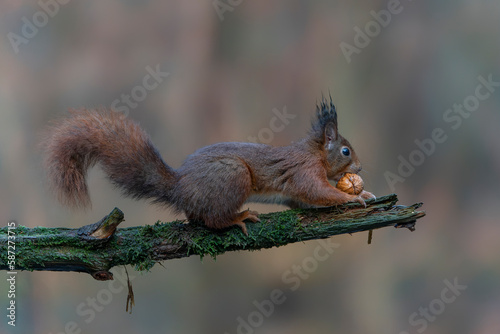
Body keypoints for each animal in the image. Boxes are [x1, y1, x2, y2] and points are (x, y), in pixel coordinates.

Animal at [43, 98, 376, 235]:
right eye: (345, 151)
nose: (360, 168)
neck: (315, 152)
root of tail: (180, 188)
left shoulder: (295, 192)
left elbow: (306, 202)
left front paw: (360, 193)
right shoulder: (304, 171)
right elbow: (319, 192)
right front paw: (353, 197)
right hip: (233, 175)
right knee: (213, 220)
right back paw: (237, 218)